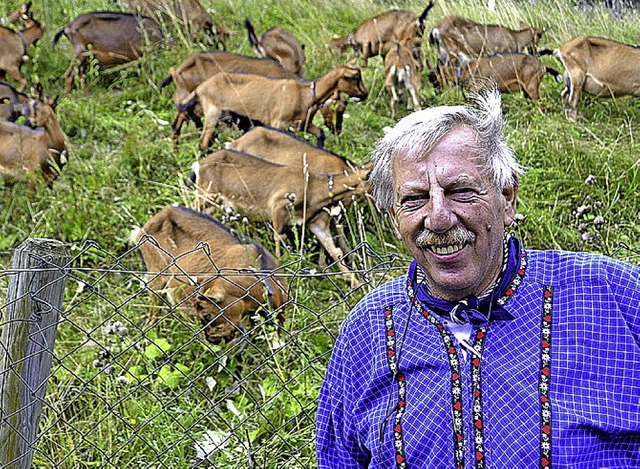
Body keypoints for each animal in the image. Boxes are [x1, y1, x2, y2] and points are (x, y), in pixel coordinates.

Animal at [179, 64, 370, 150]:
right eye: (355, 78)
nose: (365, 94)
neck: (306, 94)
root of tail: (200, 88)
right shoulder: (279, 123)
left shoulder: (304, 124)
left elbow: (320, 133)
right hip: (213, 112)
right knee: (203, 141)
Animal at [186, 149, 370, 286]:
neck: (313, 189)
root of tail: (197, 166)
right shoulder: (277, 206)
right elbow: (278, 238)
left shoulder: (316, 222)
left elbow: (335, 250)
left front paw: (355, 282)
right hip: (205, 196)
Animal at [430, 52, 560, 100]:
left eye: (435, 80)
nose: (436, 93)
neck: (464, 71)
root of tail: (542, 66)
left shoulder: (476, 91)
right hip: (526, 90)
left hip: (531, 86)